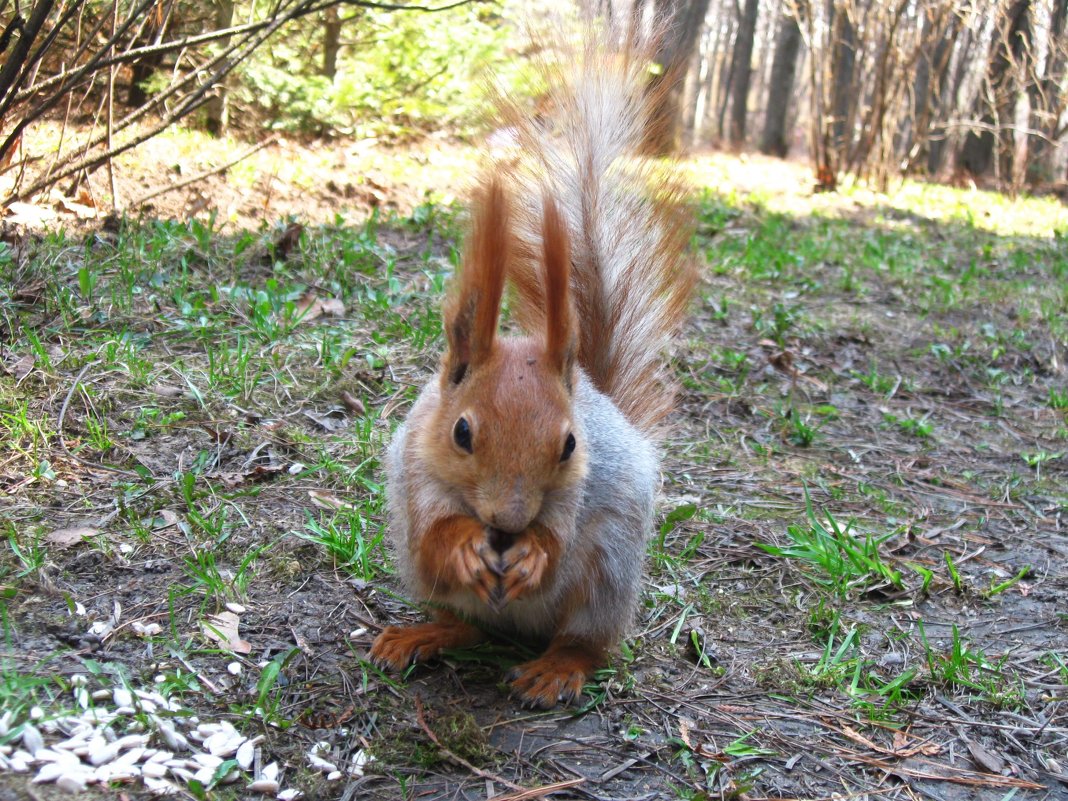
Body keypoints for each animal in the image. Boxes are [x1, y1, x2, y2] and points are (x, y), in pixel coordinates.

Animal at [371, 31, 696, 709]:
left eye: (571, 443)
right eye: (461, 432)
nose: (507, 522)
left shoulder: (580, 495)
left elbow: (558, 538)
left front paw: (533, 556)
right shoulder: (416, 474)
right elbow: (432, 536)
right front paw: (465, 545)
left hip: (607, 574)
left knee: (586, 642)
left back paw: (556, 668)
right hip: (435, 585)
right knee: (465, 624)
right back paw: (425, 633)